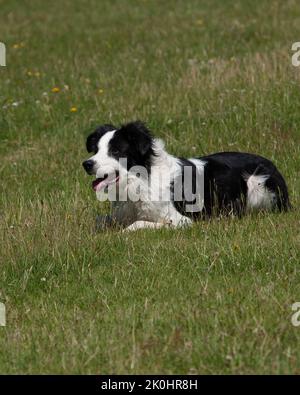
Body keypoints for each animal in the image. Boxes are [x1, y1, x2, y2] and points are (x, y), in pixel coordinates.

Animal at [82, 122, 290, 230]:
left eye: (116, 151)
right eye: (96, 150)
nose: (87, 164)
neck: (142, 178)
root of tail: (274, 166)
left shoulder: (181, 220)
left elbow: (138, 223)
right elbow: (101, 220)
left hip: (257, 183)